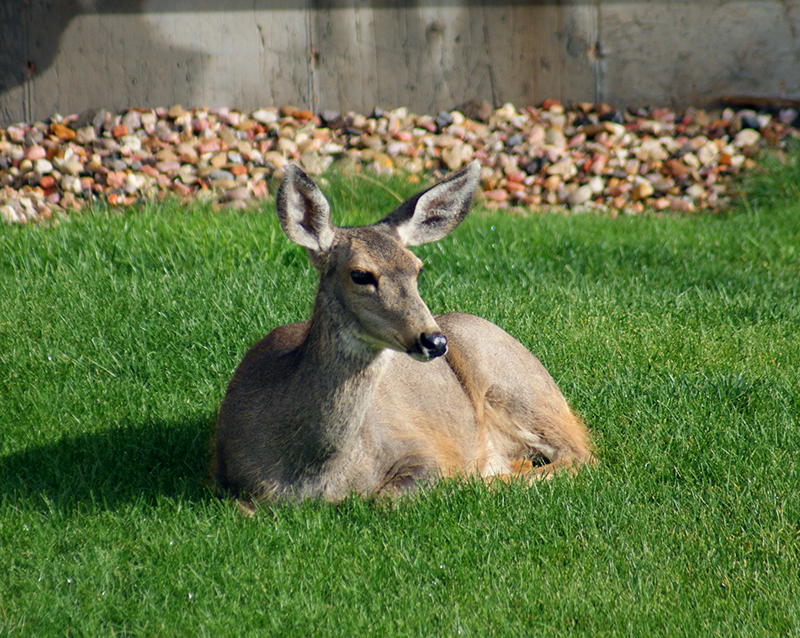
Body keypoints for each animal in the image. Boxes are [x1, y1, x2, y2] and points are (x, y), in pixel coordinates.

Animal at [212, 161, 592, 504]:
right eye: (360, 274)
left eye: (417, 268)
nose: (434, 340)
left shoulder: (425, 449)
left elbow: (388, 497)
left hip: (514, 383)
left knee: (579, 454)